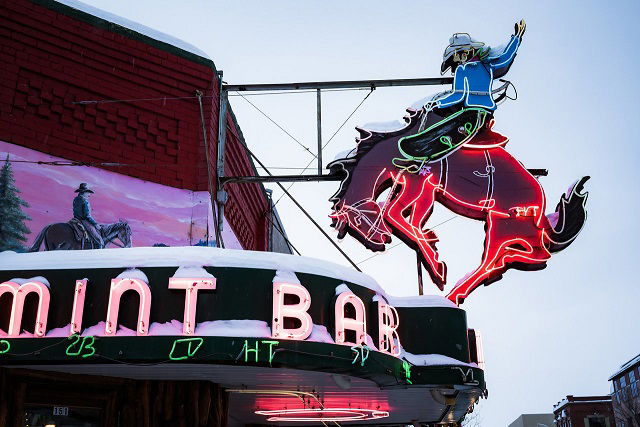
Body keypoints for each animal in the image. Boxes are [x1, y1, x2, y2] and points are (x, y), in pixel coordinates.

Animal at [330, 108, 592, 306]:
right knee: (535, 254)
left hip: (500, 225)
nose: (381, 239)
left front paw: (437, 267)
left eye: (357, 219)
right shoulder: (427, 189)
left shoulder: (418, 182)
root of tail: (542, 210)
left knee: (504, 259)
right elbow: (409, 220)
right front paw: (434, 251)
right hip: (516, 228)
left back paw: (461, 289)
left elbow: (392, 214)